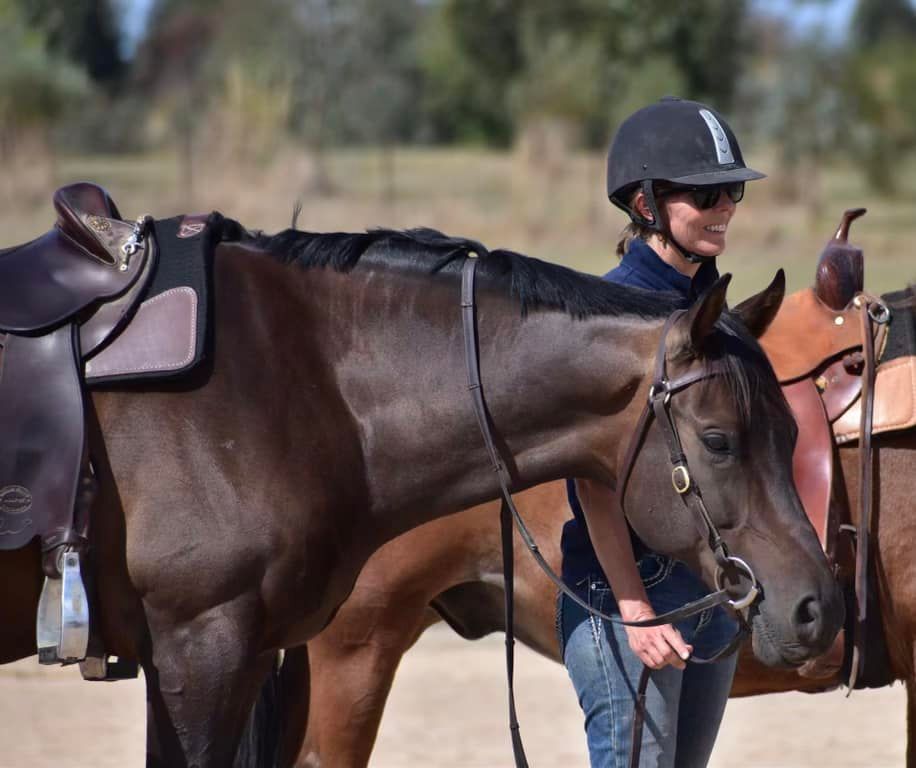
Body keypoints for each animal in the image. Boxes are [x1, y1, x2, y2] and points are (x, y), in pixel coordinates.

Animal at [0, 219, 843, 767]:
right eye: (719, 440)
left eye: (792, 435)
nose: (817, 607)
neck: (291, 378)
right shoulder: (197, 650)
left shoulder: (242, 655)